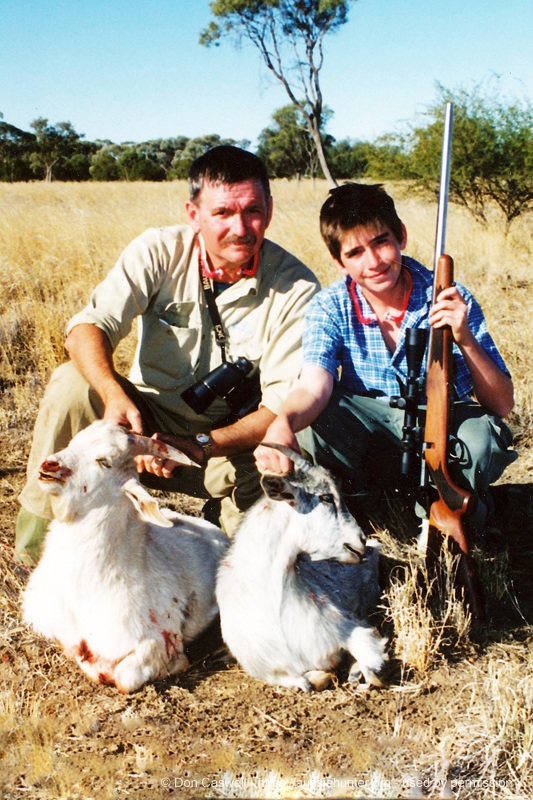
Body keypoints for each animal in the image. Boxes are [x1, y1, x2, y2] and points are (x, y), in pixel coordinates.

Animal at [22, 422, 228, 692]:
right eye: (74, 441)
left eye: (105, 461)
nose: (50, 465)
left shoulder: (156, 640)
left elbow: (123, 677)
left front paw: (180, 662)